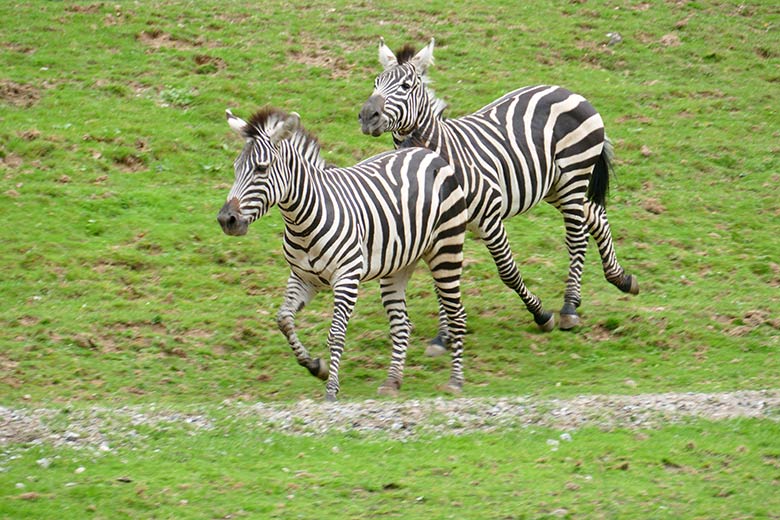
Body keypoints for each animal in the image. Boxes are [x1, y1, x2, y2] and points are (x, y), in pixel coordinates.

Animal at [216, 106, 466, 402]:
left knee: (457, 315)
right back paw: (392, 382)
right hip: (397, 265)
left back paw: (455, 381)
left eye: (261, 169)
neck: (302, 219)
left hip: (446, 250)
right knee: (401, 324)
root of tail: (423, 152)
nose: (226, 220)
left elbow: (335, 334)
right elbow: (284, 319)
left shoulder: (346, 277)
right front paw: (316, 366)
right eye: (236, 168)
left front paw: (331, 389)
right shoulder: (302, 278)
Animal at [360, 37, 640, 350]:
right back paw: (620, 278)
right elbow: (442, 281)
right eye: (376, 82)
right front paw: (444, 336)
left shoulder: (489, 218)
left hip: (573, 177)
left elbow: (506, 270)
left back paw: (569, 307)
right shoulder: (442, 228)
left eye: (406, 86)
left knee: (577, 239)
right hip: (554, 185)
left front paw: (541, 314)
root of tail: (568, 91)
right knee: (596, 215)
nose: (367, 116)